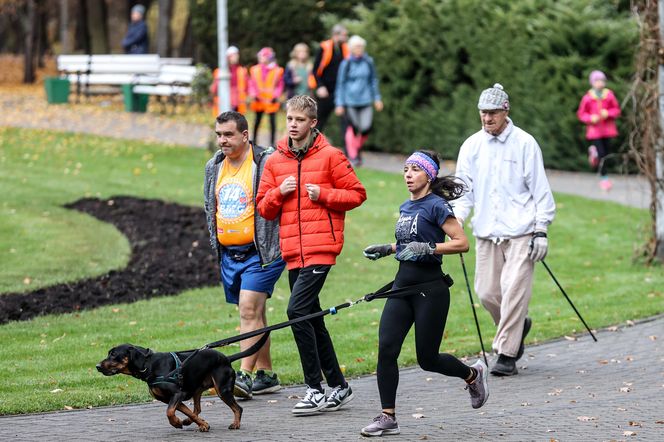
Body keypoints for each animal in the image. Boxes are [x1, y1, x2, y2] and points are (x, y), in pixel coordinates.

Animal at [96, 332, 268, 432]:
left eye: (113, 354)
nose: (97, 366)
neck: (150, 365)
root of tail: (227, 358)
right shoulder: (172, 398)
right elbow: (186, 411)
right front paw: (201, 424)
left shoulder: (177, 394)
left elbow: (169, 412)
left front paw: (177, 423)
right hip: (197, 388)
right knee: (197, 409)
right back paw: (190, 421)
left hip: (222, 389)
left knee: (238, 408)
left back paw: (236, 424)